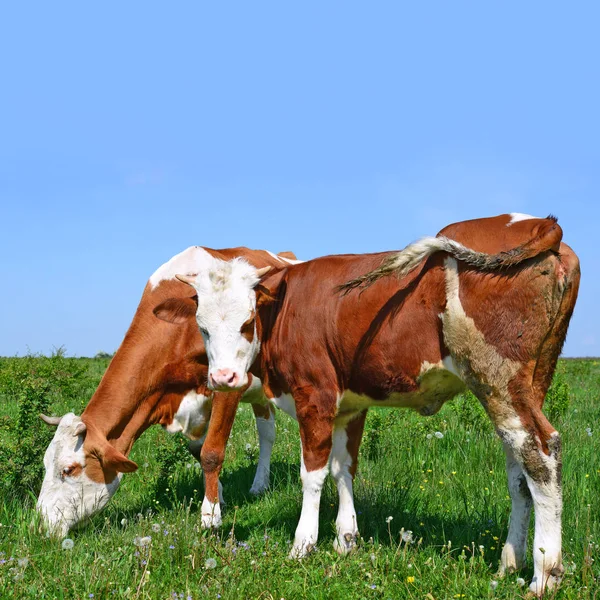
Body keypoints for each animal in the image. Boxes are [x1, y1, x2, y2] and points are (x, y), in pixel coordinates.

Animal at [36, 246, 300, 536]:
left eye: (68, 469)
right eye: (45, 464)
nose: (40, 524)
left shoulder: (227, 385)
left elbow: (211, 452)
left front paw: (210, 516)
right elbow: (197, 450)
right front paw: (218, 497)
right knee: (267, 430)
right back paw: (259, 485)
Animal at [176, 216, 580, 596]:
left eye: (247, 323)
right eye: (203, 327)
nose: (223, 378)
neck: (285, 309)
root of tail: (540, 223)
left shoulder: (315, 398)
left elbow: (313, 473)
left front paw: (303, 544)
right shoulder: (349, 406)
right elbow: (343, 468)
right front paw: (345, 539)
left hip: (496, 378)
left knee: (542, 455)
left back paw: (544, 574)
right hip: (530, 383)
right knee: (519, 470)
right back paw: (509, 563)